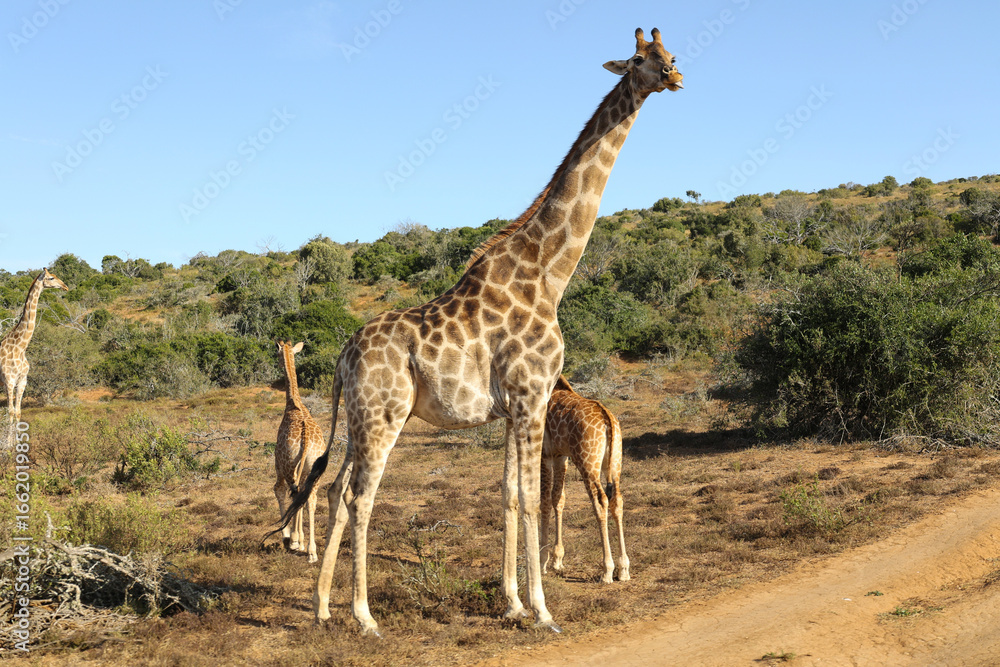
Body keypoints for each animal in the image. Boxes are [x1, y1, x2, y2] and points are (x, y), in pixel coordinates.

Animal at [1, 268, 69, 448]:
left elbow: (17, 412)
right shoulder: (9, 380)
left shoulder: (22, 380)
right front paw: (8, 445)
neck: (20, 347)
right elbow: (10, 412)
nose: (65, 286)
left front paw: (18, 442)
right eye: (51, 278)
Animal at [540, 375, 629, 584]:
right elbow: (558, 498)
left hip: (587, 464)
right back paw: (623, 569)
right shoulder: (561, 456)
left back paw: (607, 570)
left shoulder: (545, 454)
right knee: (617, 501)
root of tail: (607, 420)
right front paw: (557, 560)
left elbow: (545, 500)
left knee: (601, 501)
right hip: (614, 464)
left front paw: (542, 562)